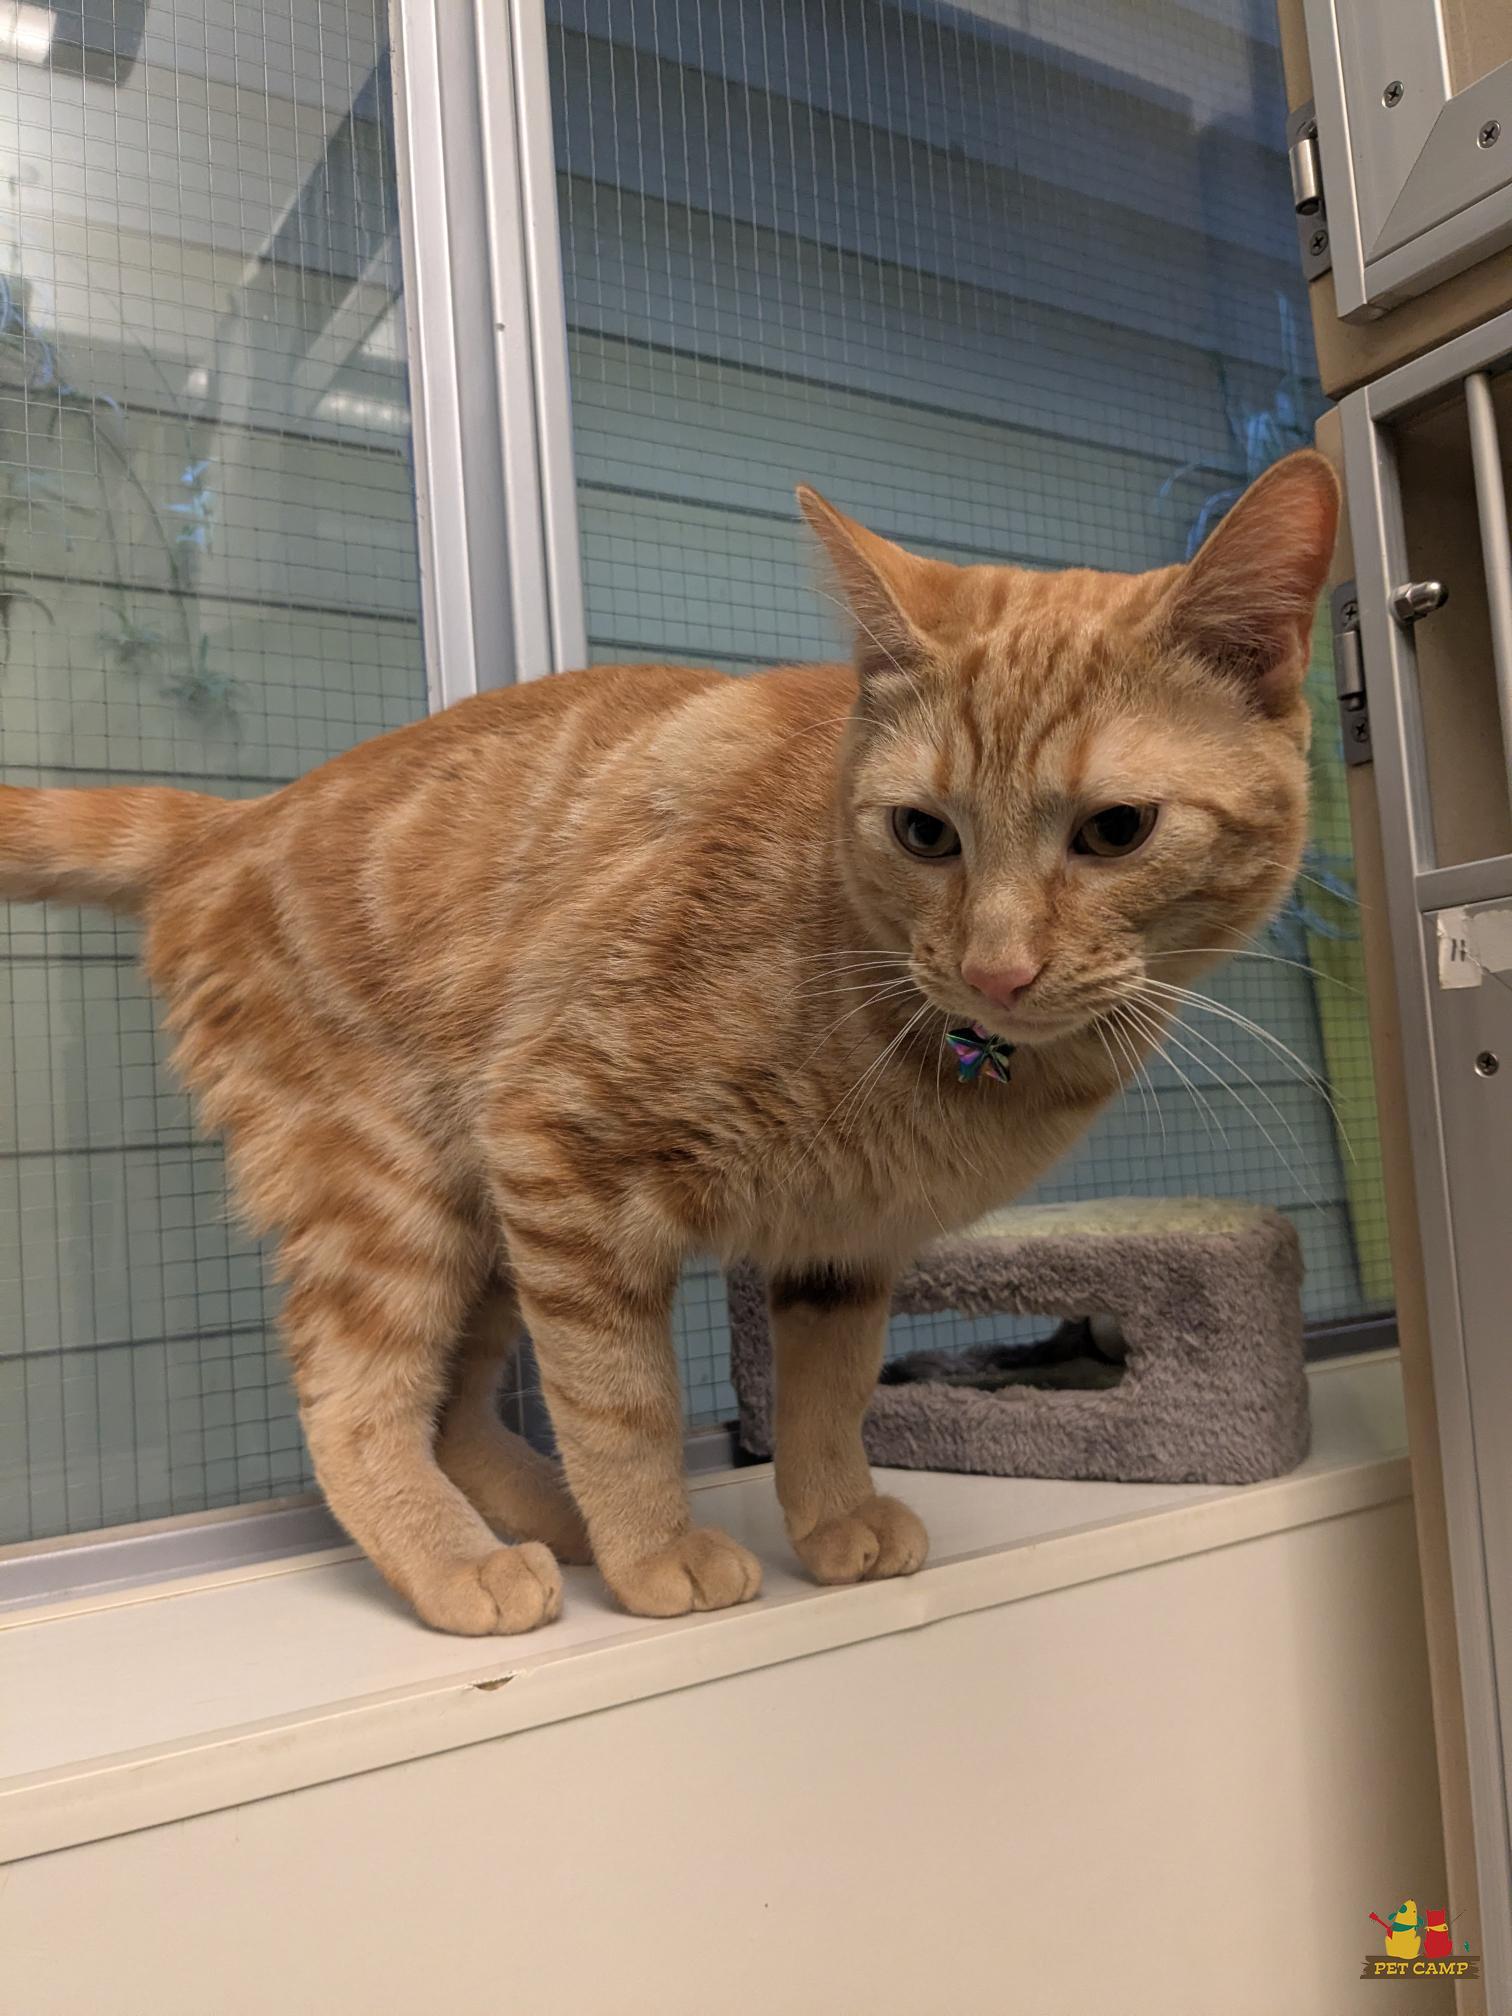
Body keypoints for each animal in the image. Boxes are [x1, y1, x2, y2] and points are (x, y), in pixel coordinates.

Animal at [0, 449, 1338, 1633]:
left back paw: (553, 1526)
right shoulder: (564, 1149)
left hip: (479, 1224)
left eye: (1117, 830)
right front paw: (655, 1553)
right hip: (395, 1193)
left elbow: (828, 1397)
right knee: (354, 1399)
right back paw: (472, 1563)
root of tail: (230, 823)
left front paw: (830, 1520)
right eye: (924, 832)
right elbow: (620, 1399)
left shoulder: (844, 1240)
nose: (993, 968)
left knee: (457, 1414)